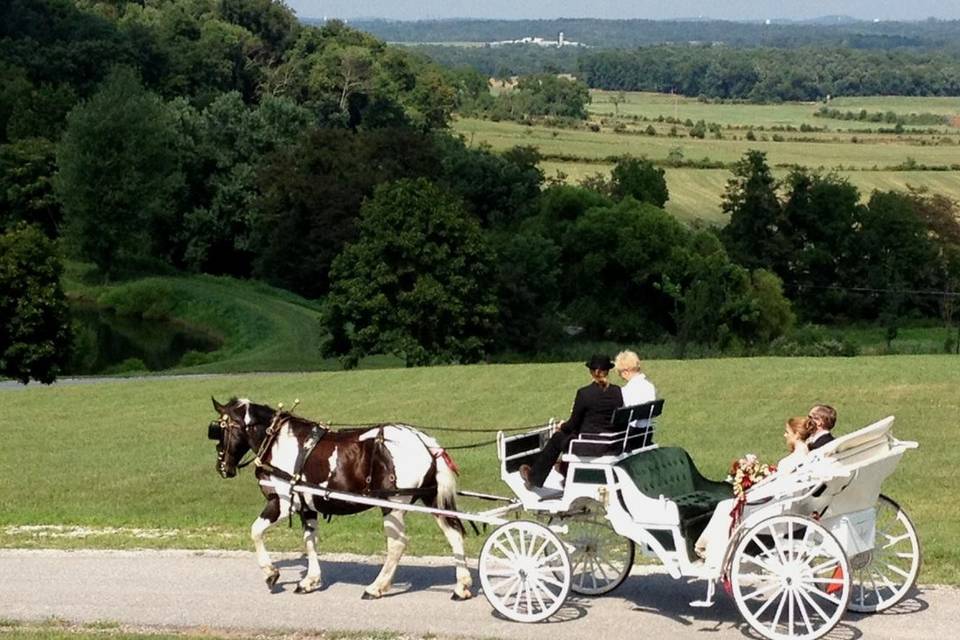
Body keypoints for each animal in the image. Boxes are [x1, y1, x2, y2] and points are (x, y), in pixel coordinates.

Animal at [206, 396, 472, 600]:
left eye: (219, 429)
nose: (222, 468)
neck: (277, 441)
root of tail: (424, 441)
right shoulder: (307, 507)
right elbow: (310, 540)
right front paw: (310, 581)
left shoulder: (282, 503)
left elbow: (256, 531)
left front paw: (271, 573)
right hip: (432, 499)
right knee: (454, 534)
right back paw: (462, 587)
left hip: (393, 504)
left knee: (397, 544)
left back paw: (376, 587)